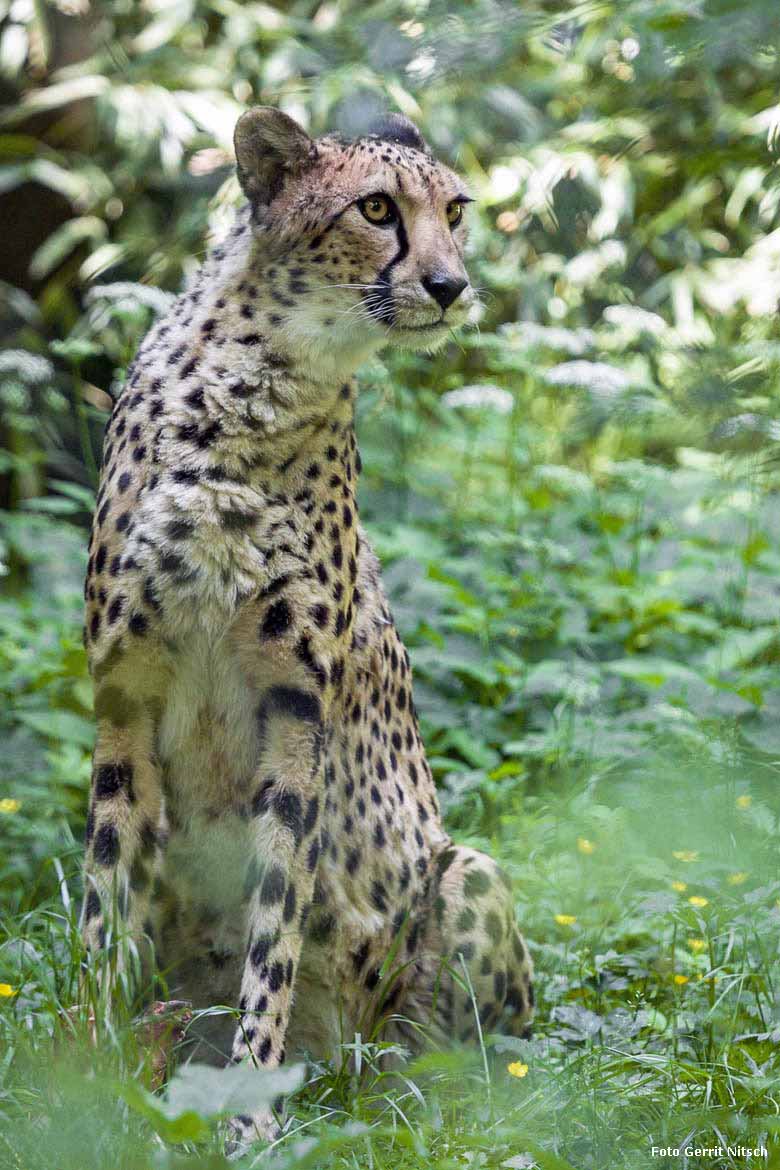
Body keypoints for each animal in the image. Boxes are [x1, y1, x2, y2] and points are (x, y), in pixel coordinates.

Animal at [82, 105, 533, 1146]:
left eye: (456, 211)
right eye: (376, 209)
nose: (450, 287)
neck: (259, 382)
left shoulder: (297, 716)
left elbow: (276, 920)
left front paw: (249, 1105)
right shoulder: (124, 698)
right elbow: (101, 902)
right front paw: (71, 1074)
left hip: (468, 873)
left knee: (470, 1060)